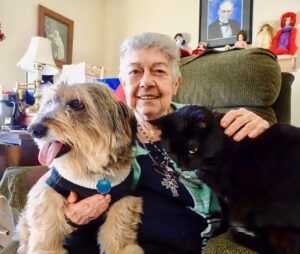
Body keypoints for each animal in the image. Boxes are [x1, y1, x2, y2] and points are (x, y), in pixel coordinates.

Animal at [15, 83, 144, 254]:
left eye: (76, 104)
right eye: (49, 102)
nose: (33, 129)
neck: (91, 169)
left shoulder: (124, 199)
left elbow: (118, 229)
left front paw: (122, 249)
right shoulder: (49, 189)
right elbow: (47, 224)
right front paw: (47, 249)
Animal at [151, 104, 300, 254]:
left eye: (193, 149)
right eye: (171, 151)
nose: (182, 165)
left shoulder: (227, 194)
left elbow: (226, 214)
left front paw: (219, 231)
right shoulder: (220, 195)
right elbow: (225, 213)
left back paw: (237, 234)